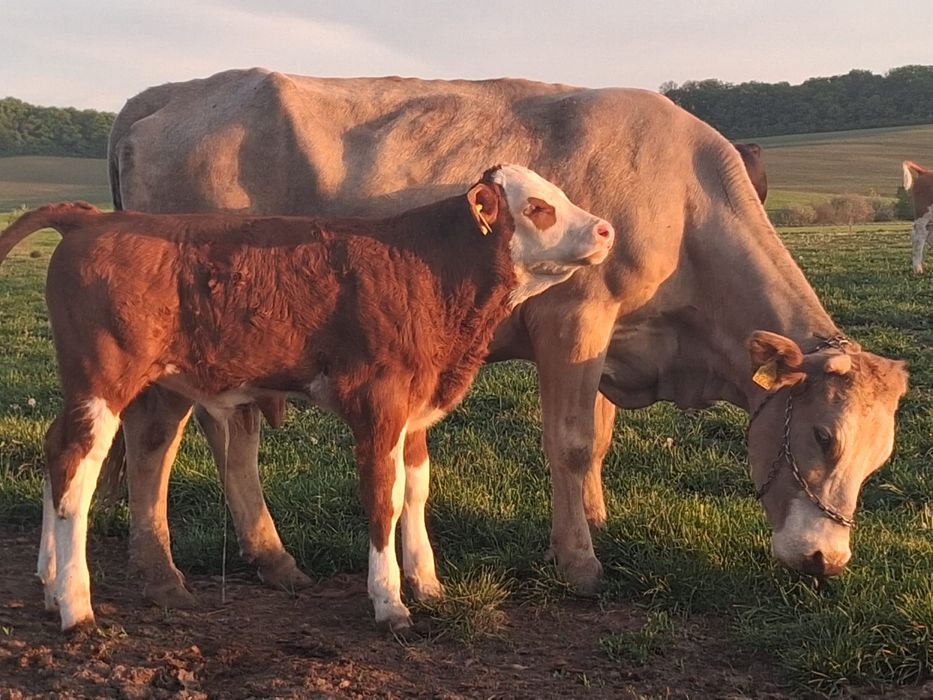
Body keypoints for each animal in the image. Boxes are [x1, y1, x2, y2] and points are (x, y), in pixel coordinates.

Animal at [0, 165, 615, 632]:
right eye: (539, 207)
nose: (607, 230)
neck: (427, 268)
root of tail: (95, 218)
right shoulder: (379, 404)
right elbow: (384, 498)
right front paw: (389, 603)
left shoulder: (415, 410)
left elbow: (416, 491)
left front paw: (428, 583)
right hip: (105, 381)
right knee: (77, 466)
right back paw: (75, 606)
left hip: (83, 386)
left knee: (56, 451)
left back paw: (50, 585)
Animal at [103, 69, 908, 608]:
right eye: (823, 437)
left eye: (877, 461)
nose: (825, 562)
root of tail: (174, 91)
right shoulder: (574, 317)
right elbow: (572, 441)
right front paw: (579, 562)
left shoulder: (612, 339)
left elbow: (598, 441)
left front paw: (592, 519)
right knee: (165, 436)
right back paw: (181, 569)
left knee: (215, 436)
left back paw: (244, 554)